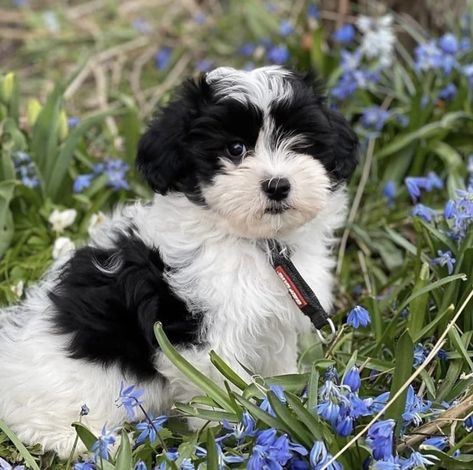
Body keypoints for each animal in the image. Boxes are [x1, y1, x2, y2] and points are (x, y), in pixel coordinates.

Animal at [0, 65, 356, 456]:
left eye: (301, 142)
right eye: (235, 149)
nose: (277, 185)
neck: (255, 242)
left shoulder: (273, 322)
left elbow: (277, 366)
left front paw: (278, 401)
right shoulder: (202, 336)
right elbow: (220, 384)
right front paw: (230, 428)